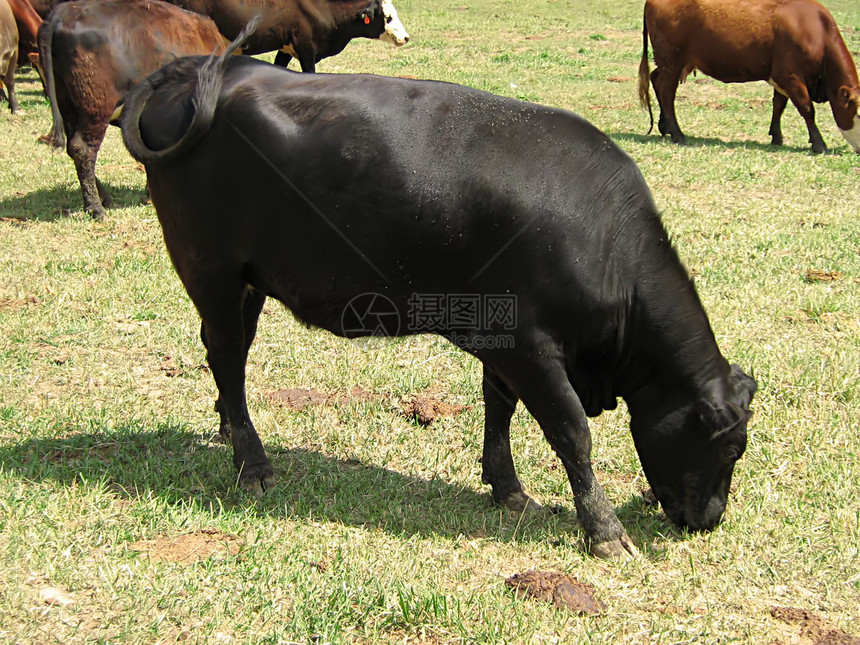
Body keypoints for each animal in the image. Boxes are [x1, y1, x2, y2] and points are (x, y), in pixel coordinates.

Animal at [39, 0, 230, 219]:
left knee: (74, 148)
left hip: (68, 105)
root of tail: (64, 11)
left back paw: (104, 198)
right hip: (96, 105)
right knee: (82, 148)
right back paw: (95, 207)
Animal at [640, 0, 860, 153]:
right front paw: (819, 144)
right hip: (672, 60)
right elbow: (807, 109)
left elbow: (778, 106)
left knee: (656, 80)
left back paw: (664, 126)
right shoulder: (790, 76)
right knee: (666, 91)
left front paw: (776, 137)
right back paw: (677, 133)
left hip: (669, 64)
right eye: (858, 114)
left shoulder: (780, 77)